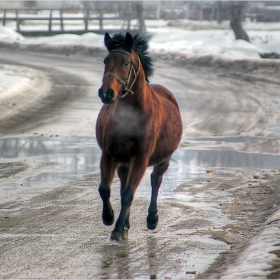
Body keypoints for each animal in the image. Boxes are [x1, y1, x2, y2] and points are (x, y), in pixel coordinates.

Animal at [96, 32, 183, 241]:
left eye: (126, 62)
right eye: (105, 61)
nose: (106, 93)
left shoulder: (141, 158)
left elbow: (129, 193)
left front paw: (118, 230)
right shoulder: (109, 155)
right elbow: (105, 189)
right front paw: (109, 218)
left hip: (163, 160)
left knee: (155, 181)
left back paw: (152, 219)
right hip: (123, 163)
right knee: (123, 186)